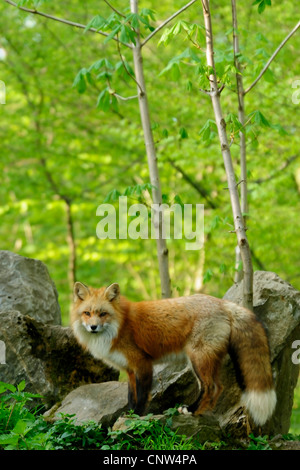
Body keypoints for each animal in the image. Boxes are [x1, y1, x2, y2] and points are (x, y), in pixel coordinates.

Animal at [70, 280, 276, 428]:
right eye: (87, 313)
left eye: (102, 314)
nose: (93, 327)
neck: (119, 326)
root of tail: (223, 303)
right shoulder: (129, 369)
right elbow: (131, 396)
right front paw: (128, 414)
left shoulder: (142, 364)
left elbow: (142, 396)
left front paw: (136, 416)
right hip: (205, 360)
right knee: (218, 387)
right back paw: (202, 411)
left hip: (197, 359)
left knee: (210, 387)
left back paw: (191, 410)